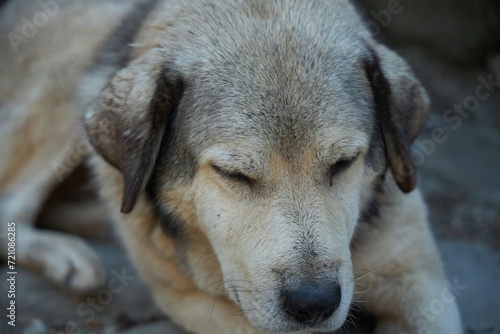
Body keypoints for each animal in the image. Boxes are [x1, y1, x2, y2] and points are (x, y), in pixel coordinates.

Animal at [0, 0, 462, 332]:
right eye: (235, 175)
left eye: (343, 163)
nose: (313, 302)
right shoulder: (194, 302)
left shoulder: (418, 281)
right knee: (12, 206)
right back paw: (66, 255)